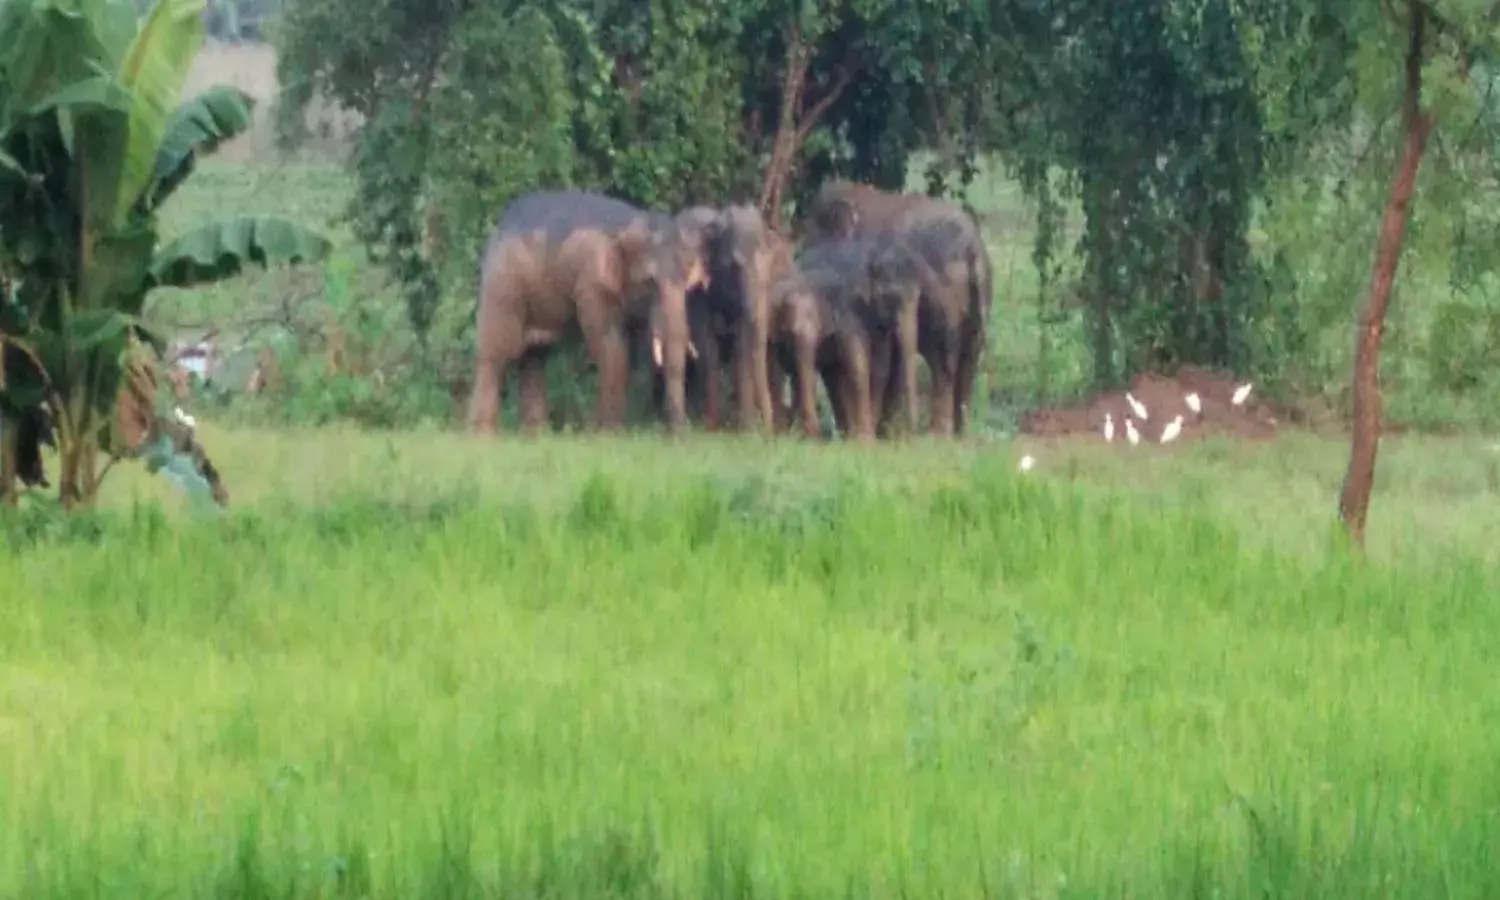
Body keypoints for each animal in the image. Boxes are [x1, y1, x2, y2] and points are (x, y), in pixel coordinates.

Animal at [467, 191, 711, 435]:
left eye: (688, 283)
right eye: (650, 282)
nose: (681, 436)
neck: (631, 222)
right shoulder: (591, 282)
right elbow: (611, 345)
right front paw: (607, 434)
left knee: (534, 357)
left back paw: (536, 436)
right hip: (502, 288)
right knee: (497, 354)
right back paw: (483, 436)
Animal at [768, 234, 928, 441]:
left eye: (918, 296)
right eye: (891, 296)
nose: (913, 433)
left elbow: (880, 368)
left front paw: (867, 437)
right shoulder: (847, 310)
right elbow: (857, 362)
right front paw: (866, 439)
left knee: (828, 376)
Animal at [800, 181, 993, 437]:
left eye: (811, 235)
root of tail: (973, 247)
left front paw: (883, 431)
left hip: (946, 297)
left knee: (943, 359)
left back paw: (937, 433)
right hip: (982, 297)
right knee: (968, 356)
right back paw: (960, 433)